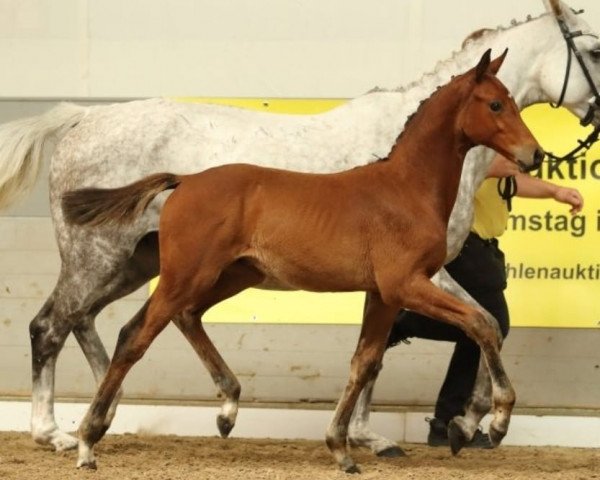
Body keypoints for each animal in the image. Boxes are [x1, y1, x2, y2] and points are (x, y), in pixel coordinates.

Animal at [62, 48, 544, 472]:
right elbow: (481, 324)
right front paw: (493, 422)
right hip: (186, 275)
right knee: (134, 336)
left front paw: (341, 449)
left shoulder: (383, 295)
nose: (535, 155)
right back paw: (87, 441)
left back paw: (227, 409)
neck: (407, 188)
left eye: (513, 100)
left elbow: (364, 361)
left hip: (229, 277)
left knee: (186, 317)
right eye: (496, 103)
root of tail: (186, 180)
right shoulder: (405, 284)